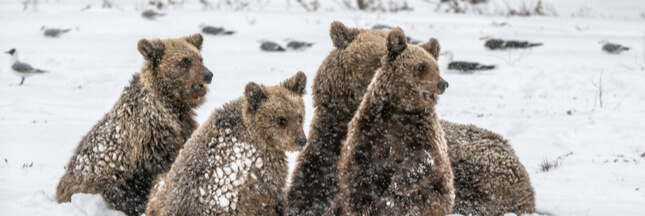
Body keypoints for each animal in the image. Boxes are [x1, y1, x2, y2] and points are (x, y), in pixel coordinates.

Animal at [55, 33, 211, 216]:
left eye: (200, 58)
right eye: (185, 61)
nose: (208, 74)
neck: (173, 104)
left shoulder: (183, 127)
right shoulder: (149, 137)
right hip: (95, 181)